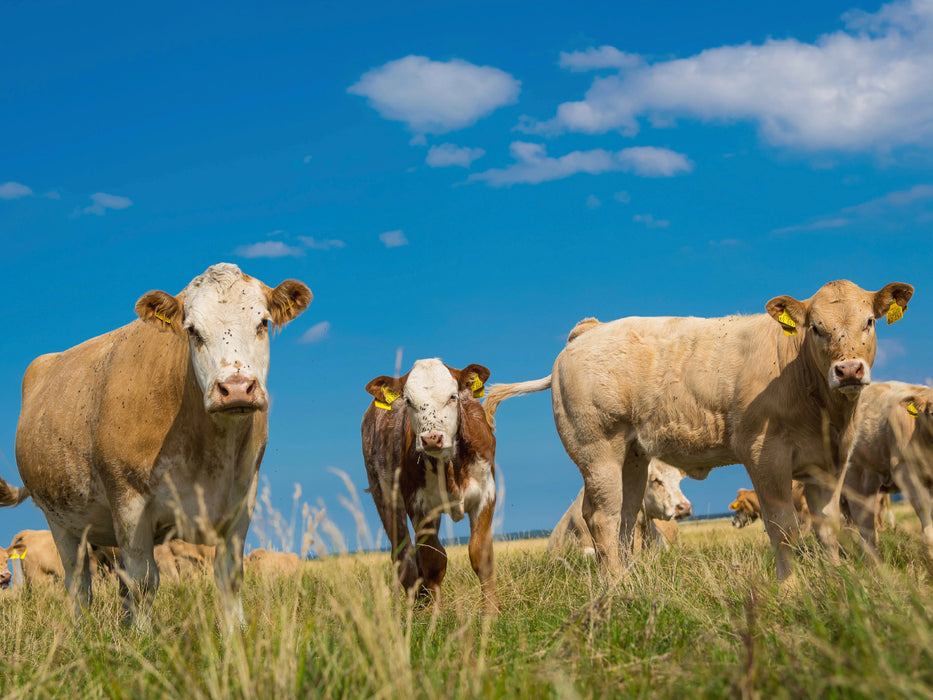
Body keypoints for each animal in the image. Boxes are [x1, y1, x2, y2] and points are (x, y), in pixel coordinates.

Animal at [0, 264, 314, 628]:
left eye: (263, 323)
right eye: (192, 330)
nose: (236, 388)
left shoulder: (242, 501)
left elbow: (229, 577)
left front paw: (236, 632)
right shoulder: (129, 502)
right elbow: (143, 582)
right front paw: (142, 636)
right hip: (62, 522)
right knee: (79, 583)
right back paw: (82, 628)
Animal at [360, 358, 498, 608]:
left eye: (453, 396)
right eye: (408, 401)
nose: (431, 438)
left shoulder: (486, 494)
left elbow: (480, 554)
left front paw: (491, 611)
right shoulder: (420, 506)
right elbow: (433, 558)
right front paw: (436, 614)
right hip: (384, 498)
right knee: (403, 556)